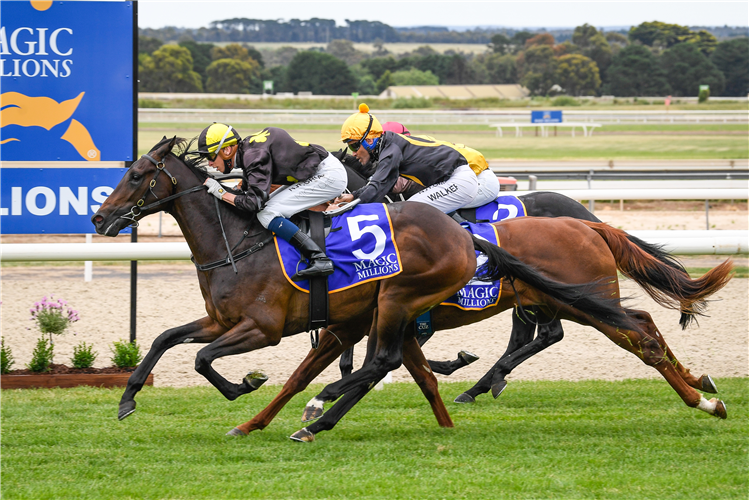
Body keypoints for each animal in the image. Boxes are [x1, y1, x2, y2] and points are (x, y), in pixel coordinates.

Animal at [89, 138, 636, 438]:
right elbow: (165, 339)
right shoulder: (223, 320)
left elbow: (204, 360)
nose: (98, 218)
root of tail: (587, 219)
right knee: (534, 336)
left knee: (548, 335)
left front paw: (245, 384)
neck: (241, 240)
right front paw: (127, 399)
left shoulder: (263, 328)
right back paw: (477, 385)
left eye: (137, 175)